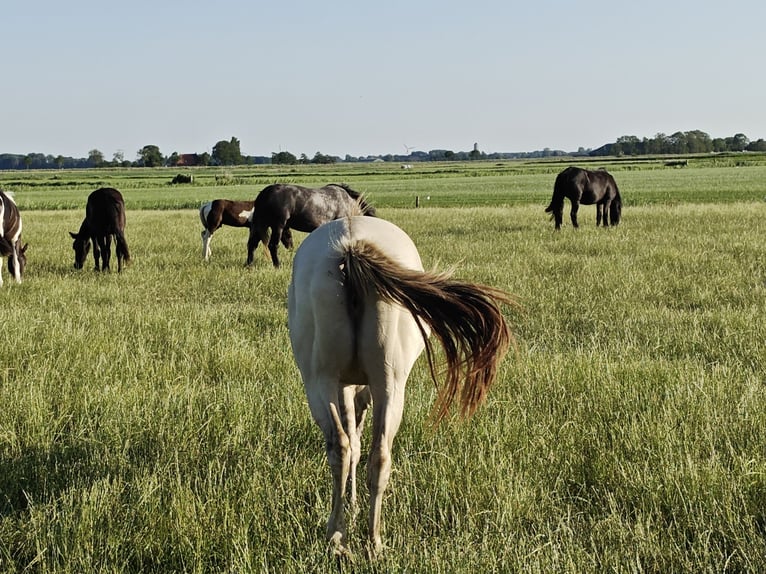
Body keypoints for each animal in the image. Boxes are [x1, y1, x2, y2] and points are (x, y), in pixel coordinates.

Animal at [246, 183, 376, 268]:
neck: (347, 202)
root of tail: (265, 193)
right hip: (277, 226)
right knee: (273, 245)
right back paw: (277, 265)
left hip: (260, 225)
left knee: (252, 244)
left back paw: (249, 264)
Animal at [288, 216, 514, 557]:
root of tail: (351, 245)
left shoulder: (347, 387)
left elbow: (354, 439)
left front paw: (351, 505)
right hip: (383, 385)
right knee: (370, 452)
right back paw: (364, 539)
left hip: (327, 381)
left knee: (348, 448)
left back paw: (347, 539)